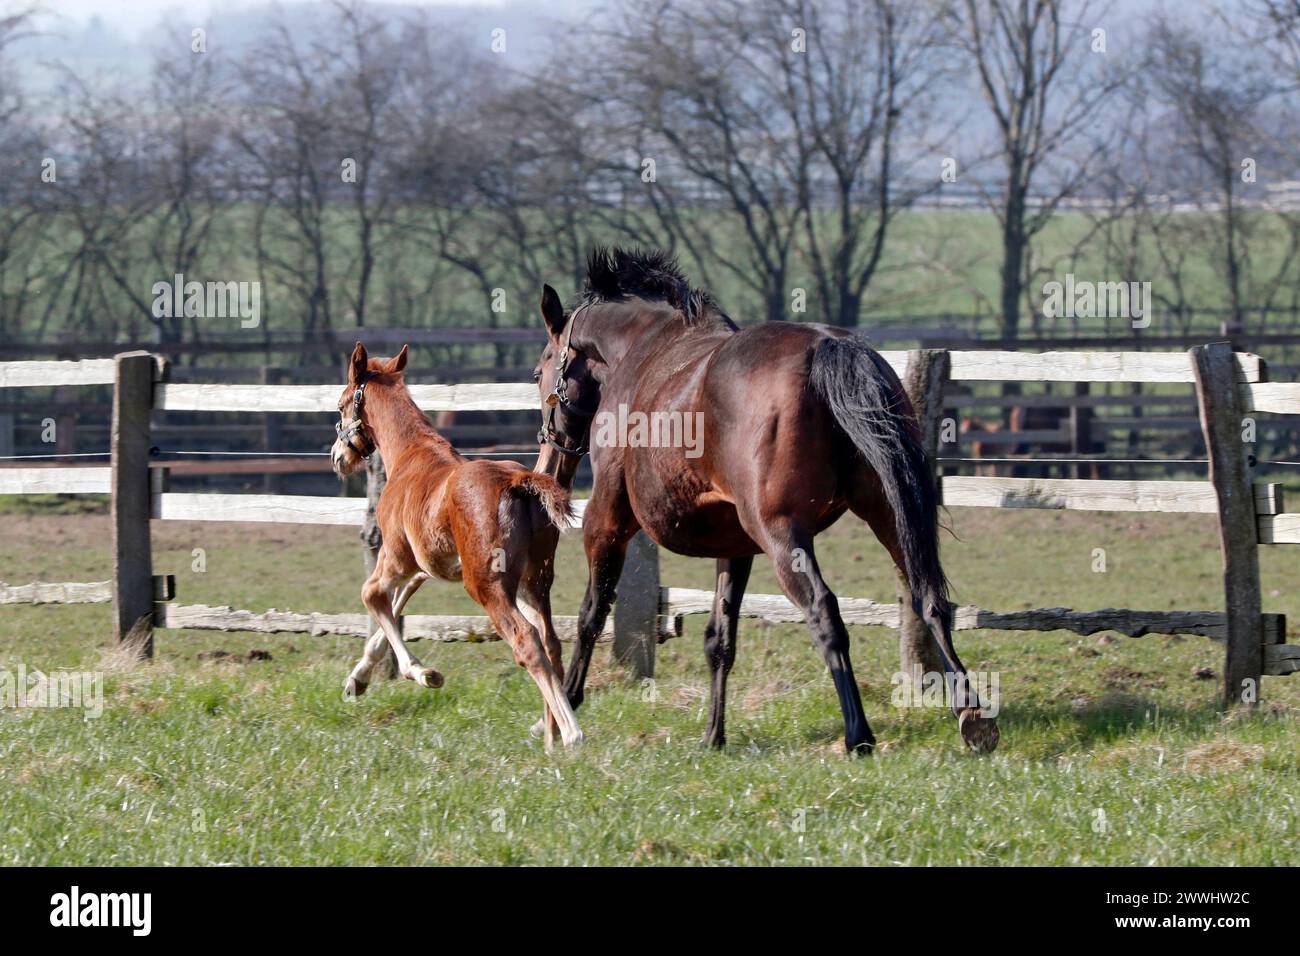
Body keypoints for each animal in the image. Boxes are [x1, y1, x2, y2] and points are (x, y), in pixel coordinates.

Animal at [330, 342, 584, 750]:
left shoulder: (395, 557)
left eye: (340, 405)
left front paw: (421, 673)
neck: (410, 455)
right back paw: (550, 738)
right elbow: (396, 603)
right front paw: (359, 679)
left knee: (527, 642)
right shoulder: (426, 566)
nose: (337, 457)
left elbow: (372, 596)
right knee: (551, 644)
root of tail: (518, 482)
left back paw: (573, 734)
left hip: (487, 585)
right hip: (535, 582)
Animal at [530, 248, 998, 755]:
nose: (551, 461)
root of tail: (828, 348)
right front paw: (713, 736)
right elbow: (719, 638)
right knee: (928, 596)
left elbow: (591, 613)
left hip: (781, 534)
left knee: (824, 611)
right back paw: (971, 714)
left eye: (539, 372)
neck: (642, 353)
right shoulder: (734, 547)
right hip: (886, 513)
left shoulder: (607, 522)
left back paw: (859, 734)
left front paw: (564, 710)